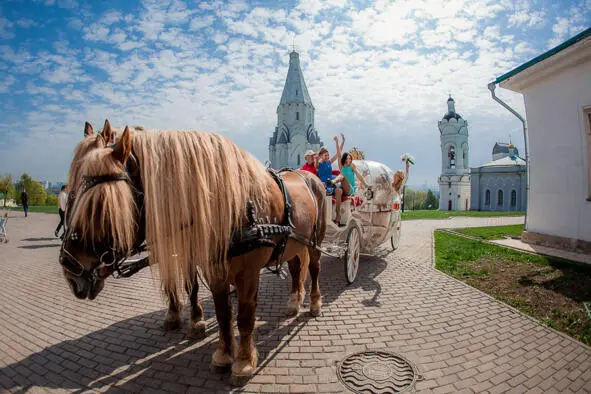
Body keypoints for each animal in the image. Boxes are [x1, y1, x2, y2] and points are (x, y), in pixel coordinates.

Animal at [59, 121, 328, 384]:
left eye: (99, 206)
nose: (70, 269)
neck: (233, 206)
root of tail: (303, 173)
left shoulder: (248, 273)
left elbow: (244, 316)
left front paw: (243, 363)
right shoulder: (208, 267)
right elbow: (220, 311)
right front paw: (222, 354)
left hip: (314, 241)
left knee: (314, 269)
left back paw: (314, 303)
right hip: (294, 244)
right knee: (296, 269)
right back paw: (294, 301)